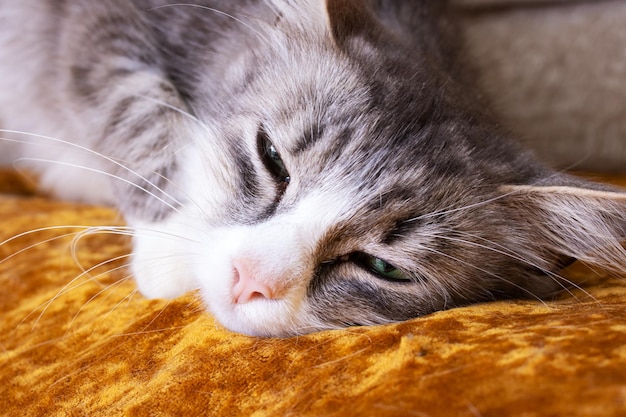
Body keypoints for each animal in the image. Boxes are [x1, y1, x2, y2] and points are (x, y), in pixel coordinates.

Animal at [1, 0, 624, 336]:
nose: (247, 279)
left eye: (383, 267)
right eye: (272, 158)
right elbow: (132, 103)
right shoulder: (103, 21)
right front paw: (171, 248)